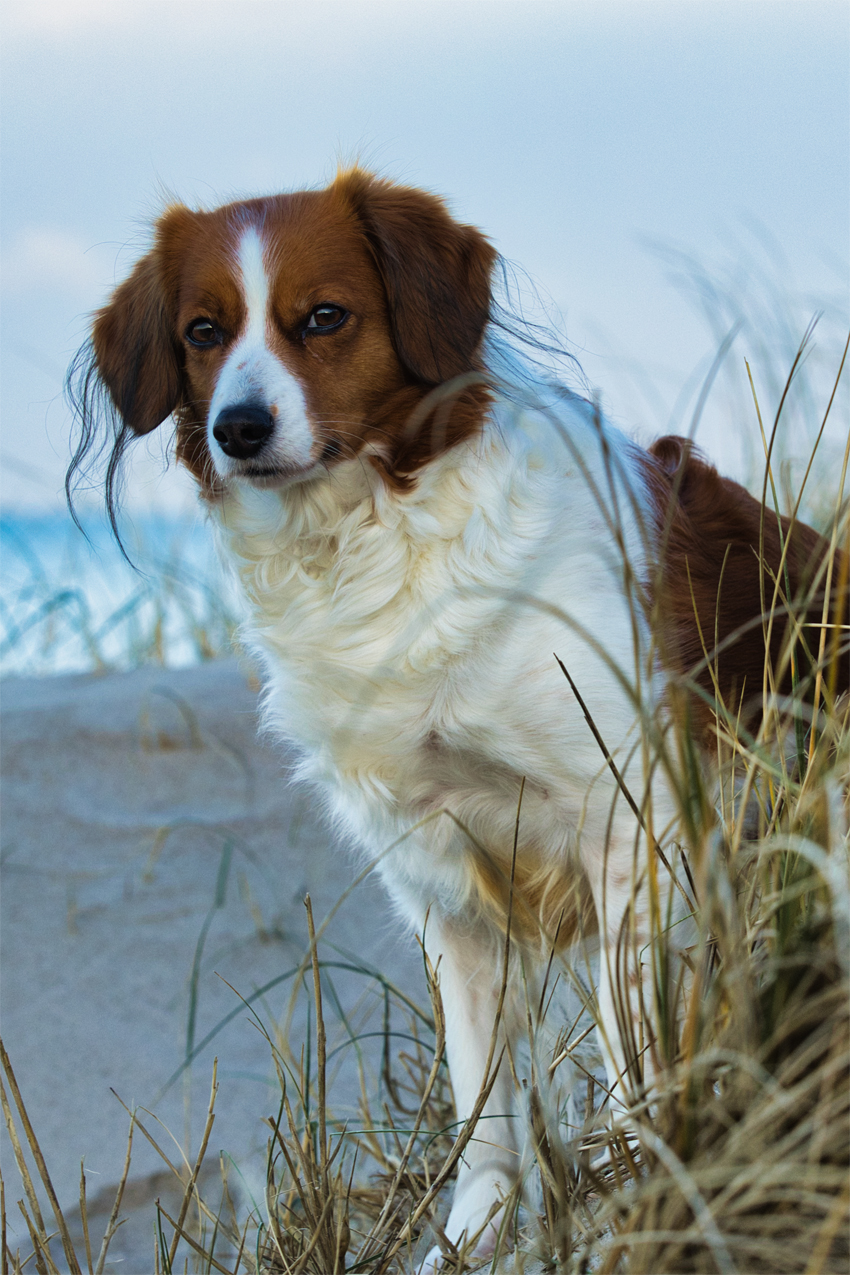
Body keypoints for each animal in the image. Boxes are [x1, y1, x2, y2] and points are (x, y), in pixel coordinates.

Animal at [69, 169, 846, 1264]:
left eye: (324, 317)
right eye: (202, 331)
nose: (238, 428)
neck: (376, 546)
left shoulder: (627, 823)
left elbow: (635, 1060)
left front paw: (640, 1196)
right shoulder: (439, 874)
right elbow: (482, 1104)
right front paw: (471, 1240)